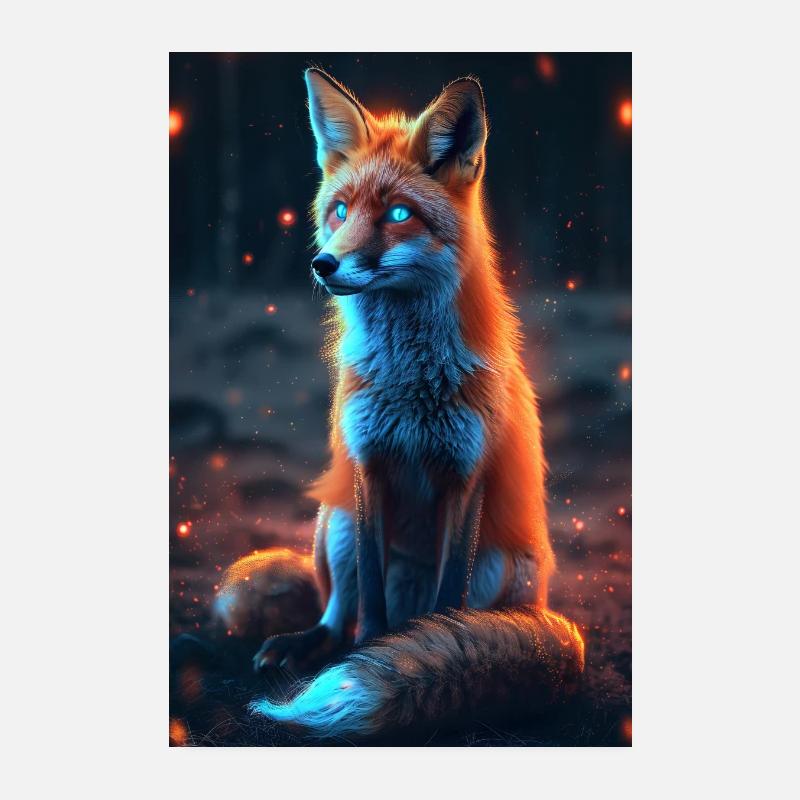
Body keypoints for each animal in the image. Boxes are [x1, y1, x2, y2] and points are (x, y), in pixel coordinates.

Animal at [249, 68, 585, 739]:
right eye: (340, 211)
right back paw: (308, 644)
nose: (324, 264)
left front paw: (425, 653)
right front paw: (375, 652)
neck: (412, 388)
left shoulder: (466, 475)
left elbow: (445, 601)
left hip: (503, 566)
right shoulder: (369, 465)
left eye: (399, 215)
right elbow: (372, 601)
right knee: (337, 614)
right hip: (334, 522)